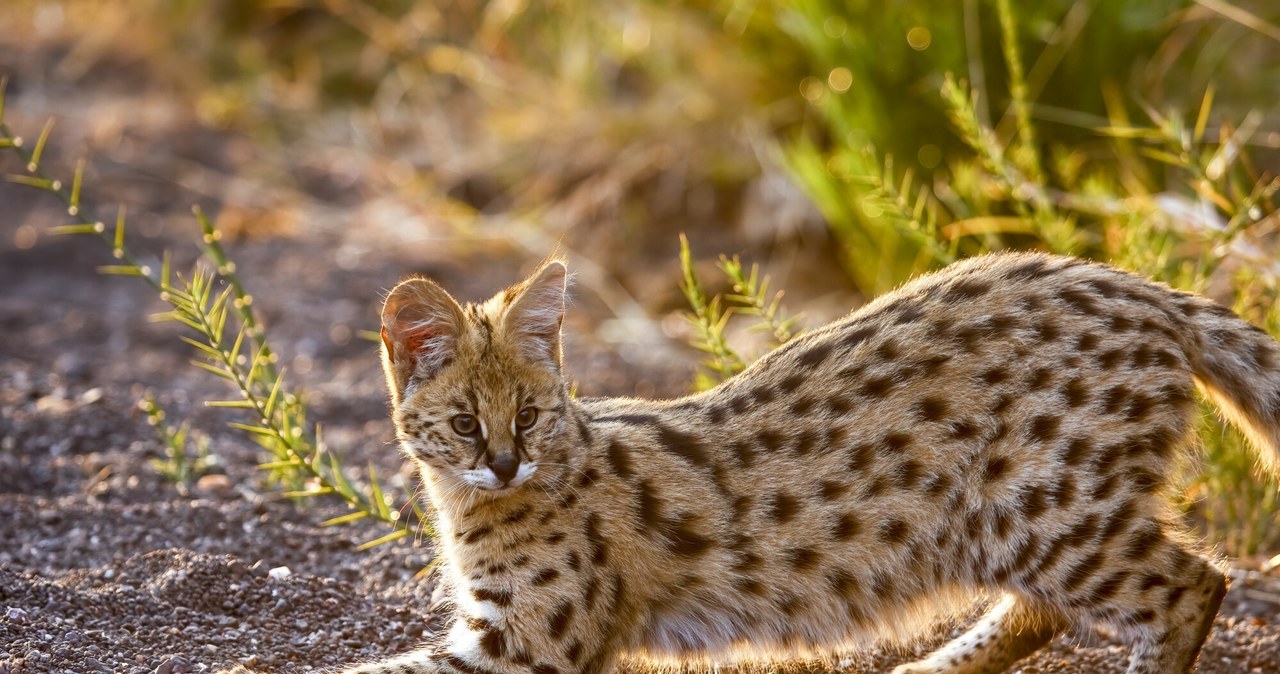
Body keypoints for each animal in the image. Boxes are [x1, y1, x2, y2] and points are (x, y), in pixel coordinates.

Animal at [264, 253, 1280, 674]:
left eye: (531, 416)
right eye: (467, 425)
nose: (508, 465)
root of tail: (1141, 287)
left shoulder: (527, 643)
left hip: (1050, 510)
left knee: (1195, 582)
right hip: (1024, 521)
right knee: (1046, 609)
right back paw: (927, 671)